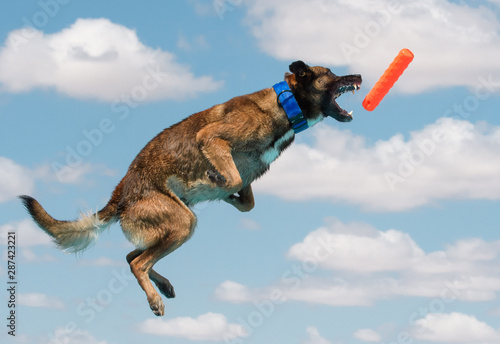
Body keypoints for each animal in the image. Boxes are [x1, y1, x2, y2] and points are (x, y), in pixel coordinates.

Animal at [21, 60, 362, 316]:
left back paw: (163, 286)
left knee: (132, 256)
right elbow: (230, 177)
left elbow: (247, 201)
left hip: (170, 227)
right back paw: (155, 299)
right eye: (331, 73)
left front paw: (227, 196)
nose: (359, 75)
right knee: (139, 263)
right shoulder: (212, 138)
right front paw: (215, 180)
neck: (286, 102)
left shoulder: (249, 178)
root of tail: (120, 194)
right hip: (182, 221)